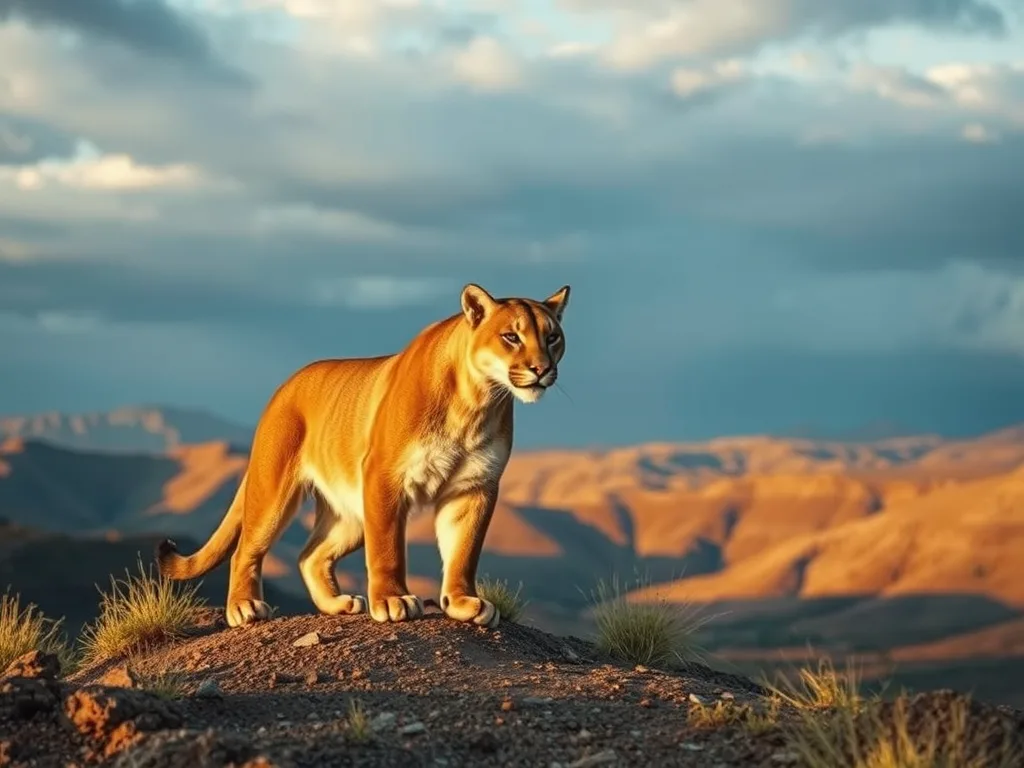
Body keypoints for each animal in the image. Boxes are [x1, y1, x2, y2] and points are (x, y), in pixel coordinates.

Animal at [156, 283, 570, 629]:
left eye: (552, 337)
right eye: (511, 337)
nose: (542, 369)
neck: (477, 400)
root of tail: (285, 386)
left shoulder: (474, 487)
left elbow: (464, 550)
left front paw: (463, 602)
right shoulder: (386, 477)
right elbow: (388, 547)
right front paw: (392, 600)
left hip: (350, 511)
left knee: (310, 555)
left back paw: (339, 604)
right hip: (275, 491)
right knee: (246, 549)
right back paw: (244, 608)